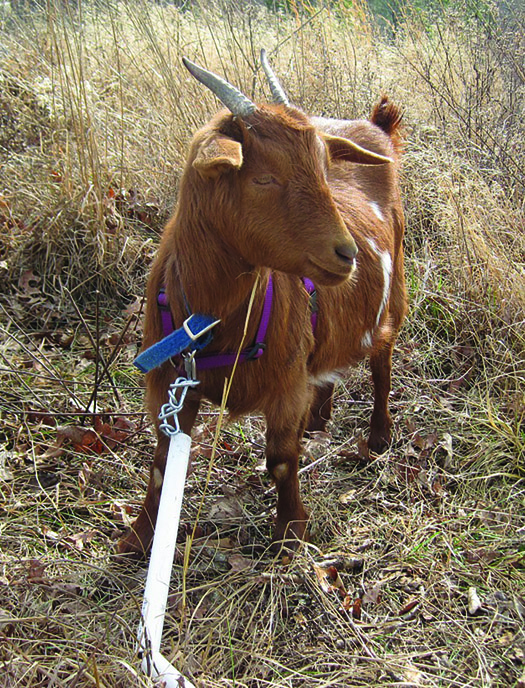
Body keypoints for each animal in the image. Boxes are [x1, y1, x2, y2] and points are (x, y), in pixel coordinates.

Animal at [118, 54, 407, 556]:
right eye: (264, 177)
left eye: (325, 169)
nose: (347, 253)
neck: (211, 318)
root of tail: (375, 124)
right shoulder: (170, 383)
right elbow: (162, 459)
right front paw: (140, 536)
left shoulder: (284, 384)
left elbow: (281, 459)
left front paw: (290, 532)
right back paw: (319, 419)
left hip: (395, 295)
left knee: (381, 364)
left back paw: (378, 436)